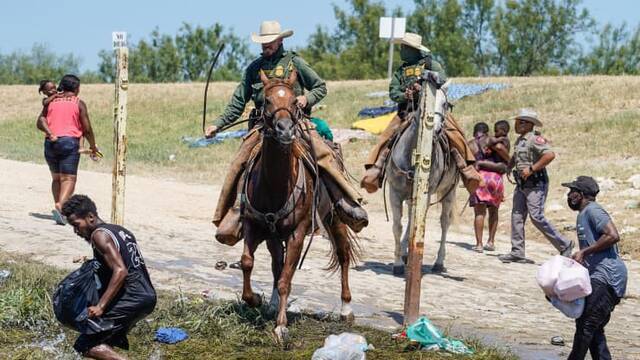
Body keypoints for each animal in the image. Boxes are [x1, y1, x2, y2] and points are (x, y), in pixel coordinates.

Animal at [241, 69, 360, 342]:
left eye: (295, 101)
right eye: (266, 100)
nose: (285, 129)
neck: (274, 185)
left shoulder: (297, 233)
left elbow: (287, 278)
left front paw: (281, 327)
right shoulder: (254, 225)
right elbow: (248, 263)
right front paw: (254, 299)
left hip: (334, 218)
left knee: (343, 254)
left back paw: (346, 309)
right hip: (274, 236)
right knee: (277, 264)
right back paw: (273, 303)